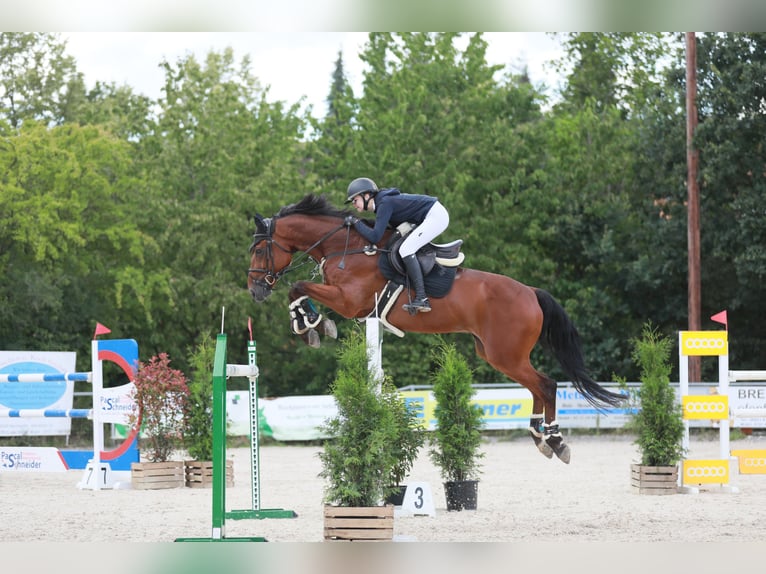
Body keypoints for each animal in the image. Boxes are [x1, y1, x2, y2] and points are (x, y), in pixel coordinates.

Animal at [249, 196, 628, 466]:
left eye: (259, 249)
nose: (255, 290)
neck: (350, 248)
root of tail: (531, 292)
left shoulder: (349, 301)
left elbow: (297, 287)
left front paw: (313, 326)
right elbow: (297, 290)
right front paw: (309, 325)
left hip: (506, 354)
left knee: (546, 384)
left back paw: (555, 440)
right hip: (495, 354)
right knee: (538, 386)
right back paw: (540, 437)